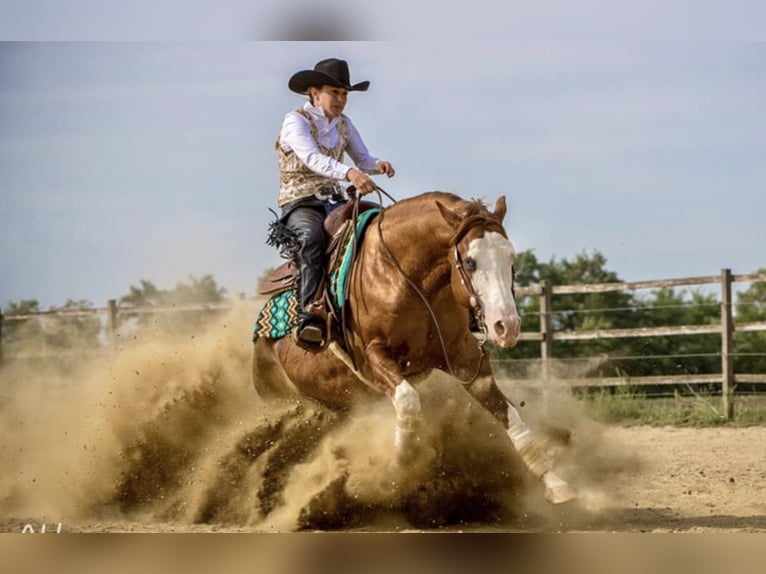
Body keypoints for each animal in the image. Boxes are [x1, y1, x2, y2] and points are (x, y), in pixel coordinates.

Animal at [252, 191, 575, 505]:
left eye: (511, 259)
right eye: (470, 262)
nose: (506, 325)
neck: (404, 277)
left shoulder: (464, 355)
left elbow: (508, 415)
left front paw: (555, 484)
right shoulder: (372, 356)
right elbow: (408, 402)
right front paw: (396, 471)